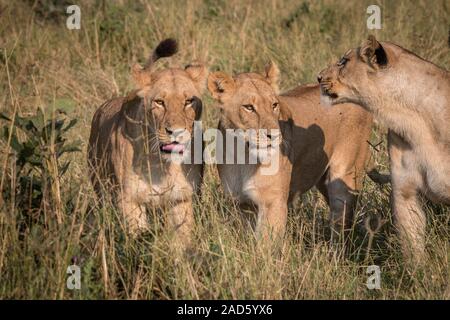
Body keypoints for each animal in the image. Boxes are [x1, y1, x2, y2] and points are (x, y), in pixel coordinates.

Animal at [87, 38, 207, 248]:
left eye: (188, 101)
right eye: (159, 102)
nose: (176, 132)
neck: (162, 163)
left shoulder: (182, 199)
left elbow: (182, 243)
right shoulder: (129, 200)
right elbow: (137, 241)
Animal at [209, 61, 374, 244]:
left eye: (274, 105)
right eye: (249, 107)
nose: (275, 135)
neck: (243, 156)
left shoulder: (273, 202)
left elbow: (266, 245)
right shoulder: (242, 204)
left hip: (345, 175)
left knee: (342, 222)